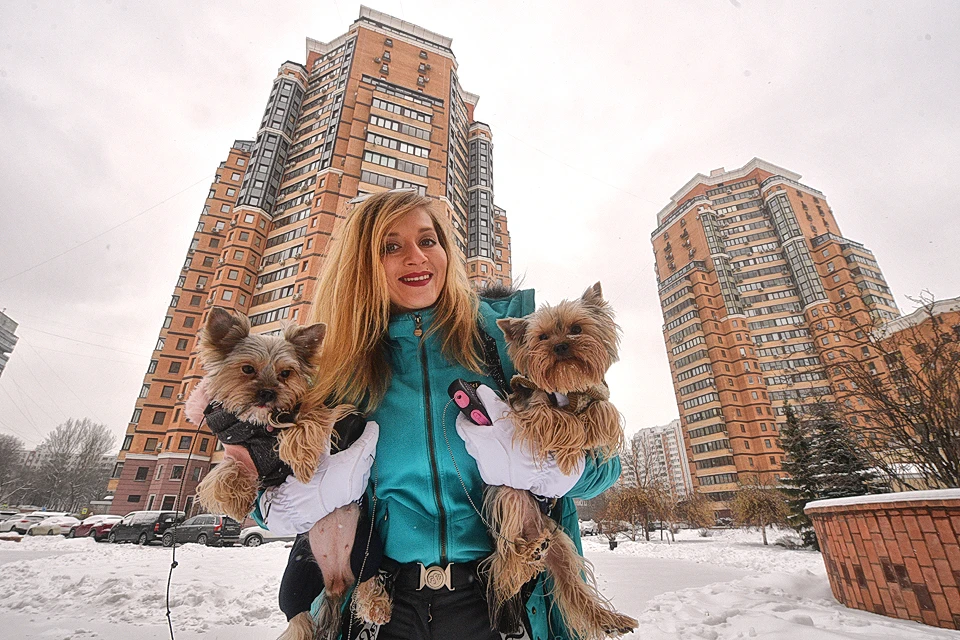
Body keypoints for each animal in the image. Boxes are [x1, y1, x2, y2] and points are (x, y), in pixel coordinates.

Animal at [191, 308, 390, 640]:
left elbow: (311, 419)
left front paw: (302, 456)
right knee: (299, 620)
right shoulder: (239, 453)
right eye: (247, 369)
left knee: (369, 580)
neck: (263, 427)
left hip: (366, 548)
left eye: (286, 373)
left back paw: (377, 606)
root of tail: (337, 582)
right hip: (295, 583)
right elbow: (222, 475)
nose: (268, 393)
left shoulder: (345, 419)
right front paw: (237, 500)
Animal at [488, 284, 636, 640]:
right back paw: (524, 555)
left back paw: (612, 620)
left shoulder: (599, 395)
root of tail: (538, 529)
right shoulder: (528, 407)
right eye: (542, 337)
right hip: (510, 499)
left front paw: (589, 431)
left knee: (575, 590)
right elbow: (558, 419)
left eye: (576, 329)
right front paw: (571, 447)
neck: (566, 385)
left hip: (564, 550)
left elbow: (601, 410)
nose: (560, 345)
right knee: (505, 563)